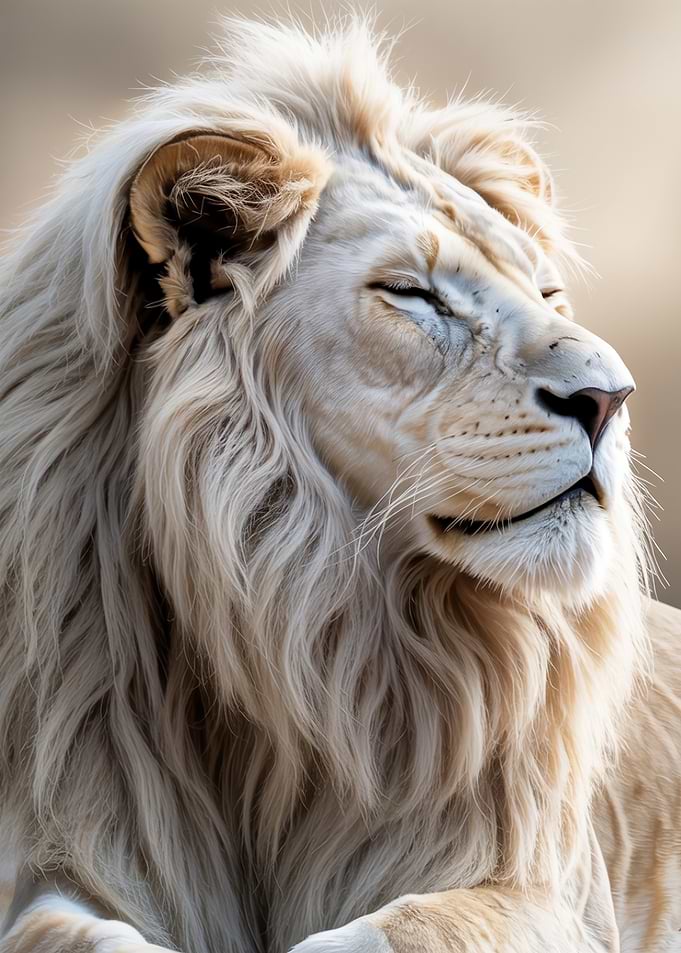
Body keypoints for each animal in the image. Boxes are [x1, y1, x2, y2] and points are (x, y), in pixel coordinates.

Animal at [0, 16, 679, 953]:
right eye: (412, 294)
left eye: (548, 293)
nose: (610, 397)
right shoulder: (68, 838)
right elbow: (63, 927)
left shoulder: (548, 892)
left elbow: (399, 928)